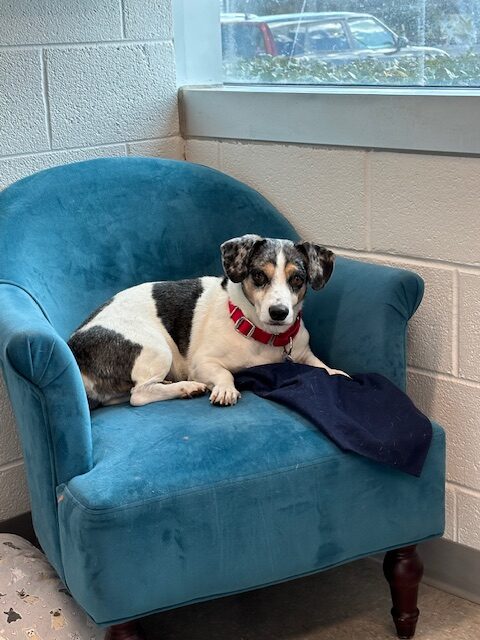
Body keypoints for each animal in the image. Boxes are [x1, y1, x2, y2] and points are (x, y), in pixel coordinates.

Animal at [68, 232, 344, 408]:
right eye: (258, 275)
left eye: (297, 278)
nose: (279, 312)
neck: (262, 334)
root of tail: (74, 348)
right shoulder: (203, 362)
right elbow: (225, 373)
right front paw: (226, 388)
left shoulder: (304, 354)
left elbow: (324, 369)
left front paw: (338, 373)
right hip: (155, 348)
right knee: (139, 394)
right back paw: (186, 388)